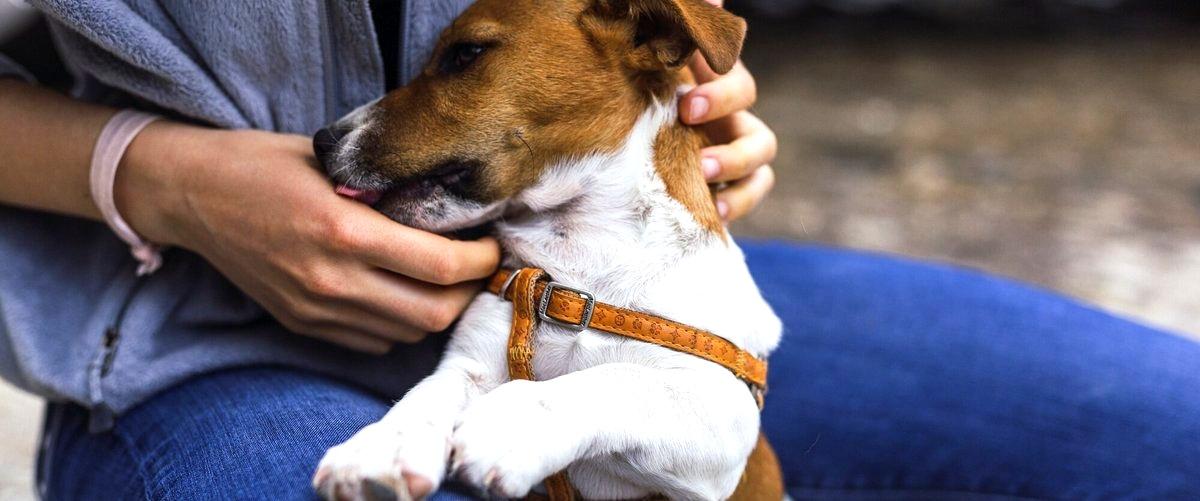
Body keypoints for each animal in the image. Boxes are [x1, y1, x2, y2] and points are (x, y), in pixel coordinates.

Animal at [307, 1, 787, 498]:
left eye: (466, 53)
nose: (321, 141)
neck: (584, 253)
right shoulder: (472, 361)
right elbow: (428, 392)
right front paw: (381, 448)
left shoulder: (722, 413)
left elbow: (621, 380)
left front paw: (509, 424)